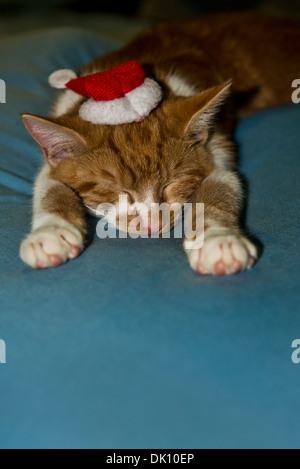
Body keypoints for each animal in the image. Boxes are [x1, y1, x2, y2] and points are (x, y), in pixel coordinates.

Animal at [20, 12, 300, 274]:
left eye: (170, 185)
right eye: (121, 192)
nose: (153, 226)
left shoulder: (215, 151)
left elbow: (221, 186)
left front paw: (219, 240)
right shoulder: (53, 162)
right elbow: (49, 185)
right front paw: (49, 233)